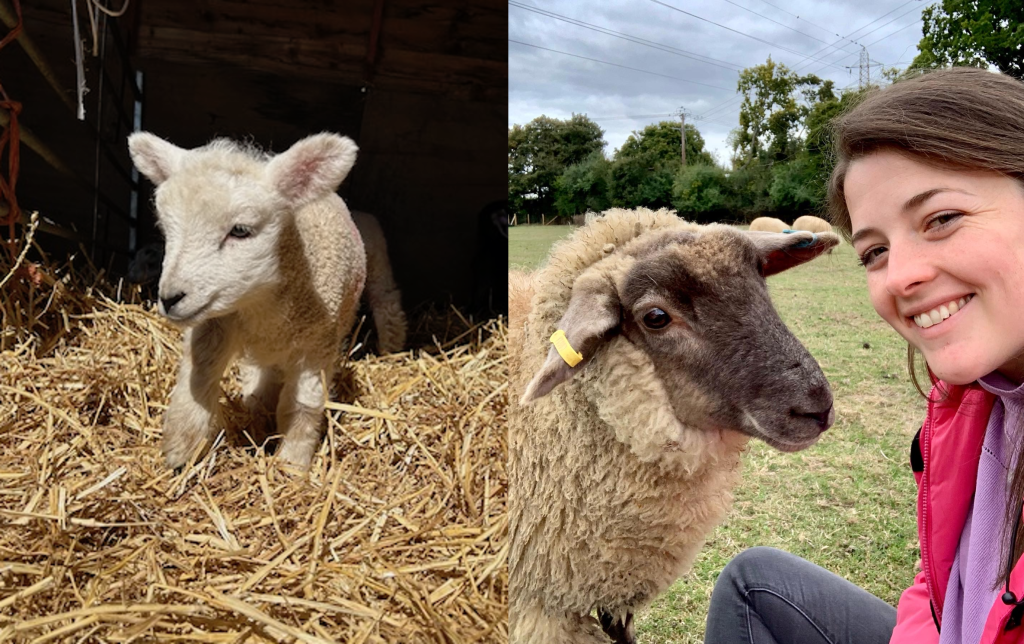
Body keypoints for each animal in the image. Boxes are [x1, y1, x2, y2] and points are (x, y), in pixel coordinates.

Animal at [128, 131, 366, 469]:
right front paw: (181, 451)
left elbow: (303, 405)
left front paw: (292, 465)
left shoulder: (318, 345)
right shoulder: (213, 323)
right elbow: (199, 379)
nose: (170, 298)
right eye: (167, 229)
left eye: (240, 231)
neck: (261, 303)